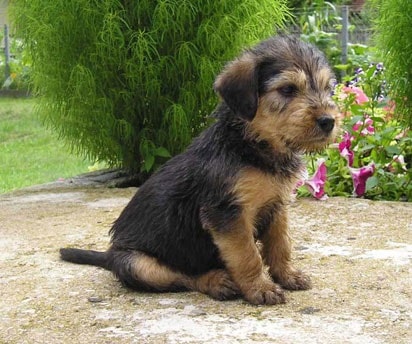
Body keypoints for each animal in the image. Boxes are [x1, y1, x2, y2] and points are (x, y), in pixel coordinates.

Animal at [60, 34, 338, 304]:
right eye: (287, 89)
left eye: (328, 88)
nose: (329, 122)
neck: (251, 145)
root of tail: (108, 256)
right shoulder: (227, 213)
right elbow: (247, 255)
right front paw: (260, 288)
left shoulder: (277, 206)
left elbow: (280, 244)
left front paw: (288, 275)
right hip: (137, 264)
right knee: (183, 276)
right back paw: (217, 281)